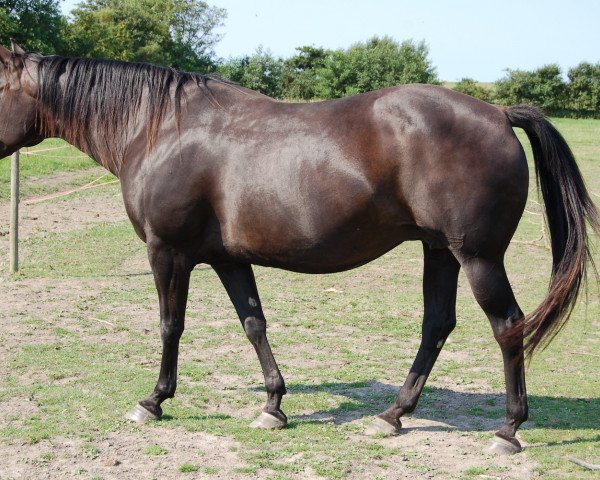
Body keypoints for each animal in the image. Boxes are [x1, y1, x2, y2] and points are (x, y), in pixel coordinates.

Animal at [2, 42, 596, 454]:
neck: (160, 129)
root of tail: (498, 113)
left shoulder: (167, 252)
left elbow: (171, 324)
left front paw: (154, 400)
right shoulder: (228, 258)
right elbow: (253, 324)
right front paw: (273, 405)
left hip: (477, 258)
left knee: (508, 327)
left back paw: (508, 430)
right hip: (439, 252)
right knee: (437, 325)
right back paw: (393, 414)